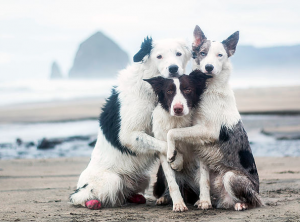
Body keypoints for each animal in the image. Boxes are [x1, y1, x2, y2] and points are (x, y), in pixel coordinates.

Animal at [69, 36, 191, 210]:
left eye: (178, 53)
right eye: (159, 56)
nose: (173, 68)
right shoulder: (128, 135)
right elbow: (165, 144)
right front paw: (178, 160)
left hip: (143, 178)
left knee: (124, 194)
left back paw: (136, 198)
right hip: (110, 180)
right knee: (87, 197)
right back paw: (92, 202)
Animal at [144, 70, 212, 211]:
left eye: (188, 89)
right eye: (169, 91)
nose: (177, 108)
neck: (178, 122)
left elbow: (204, 178)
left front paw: (204, 201)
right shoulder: (162, 151)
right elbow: (172, 182)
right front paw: (178, 203)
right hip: (159, 178)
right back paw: (164, 198)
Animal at [166, 25, 262, 211]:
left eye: (220, 55)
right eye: (203, 53)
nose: (209, 67)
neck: (208, 88)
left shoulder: (208, 130)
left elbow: (172, 132)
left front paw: (171, 154)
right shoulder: (198, 136)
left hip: (231, 176)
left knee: (253, 200)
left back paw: (241, 204)